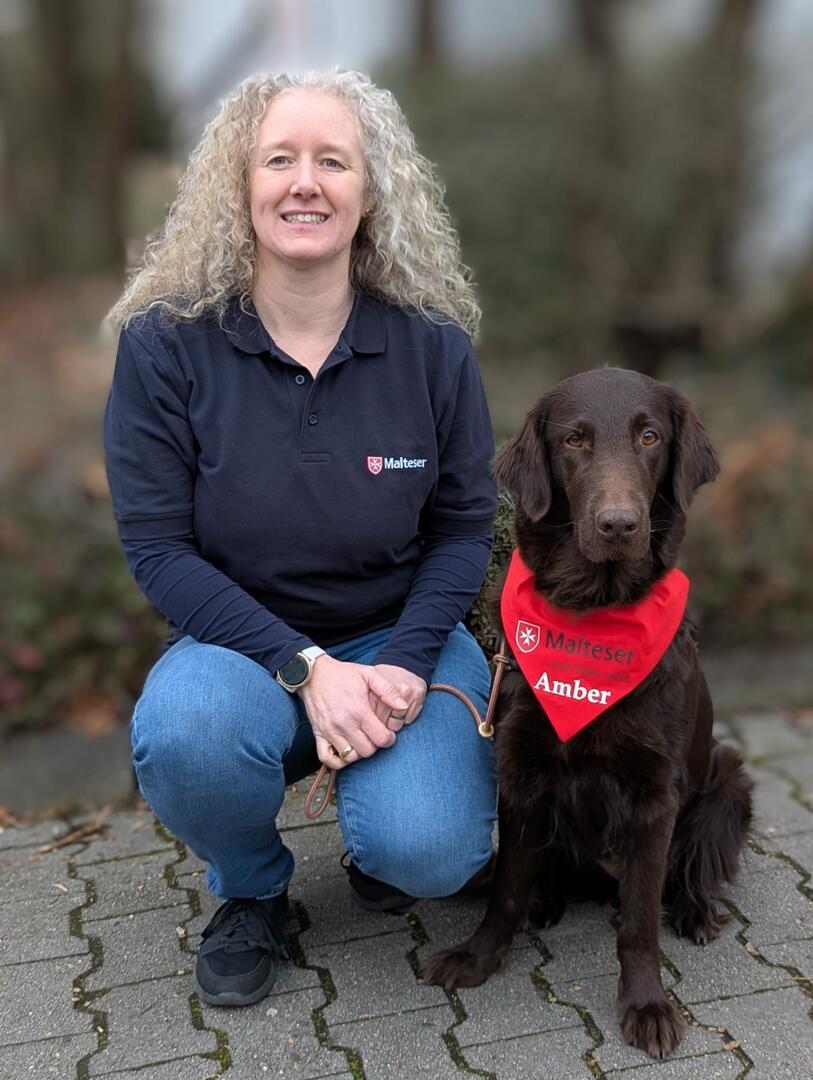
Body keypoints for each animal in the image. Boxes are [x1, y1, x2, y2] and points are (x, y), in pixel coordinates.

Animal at [423, 367, 752, 1059]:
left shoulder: (655, 795)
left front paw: (647, 1003)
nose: (619, 524)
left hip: (728, 783)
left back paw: (696, 912)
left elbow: (639, 923)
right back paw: (546, 901)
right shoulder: (519, 770)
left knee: (690, 873)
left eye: (650, 437)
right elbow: (505, 889)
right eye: (574, 440)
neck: (594, 613)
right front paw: (479, 956)